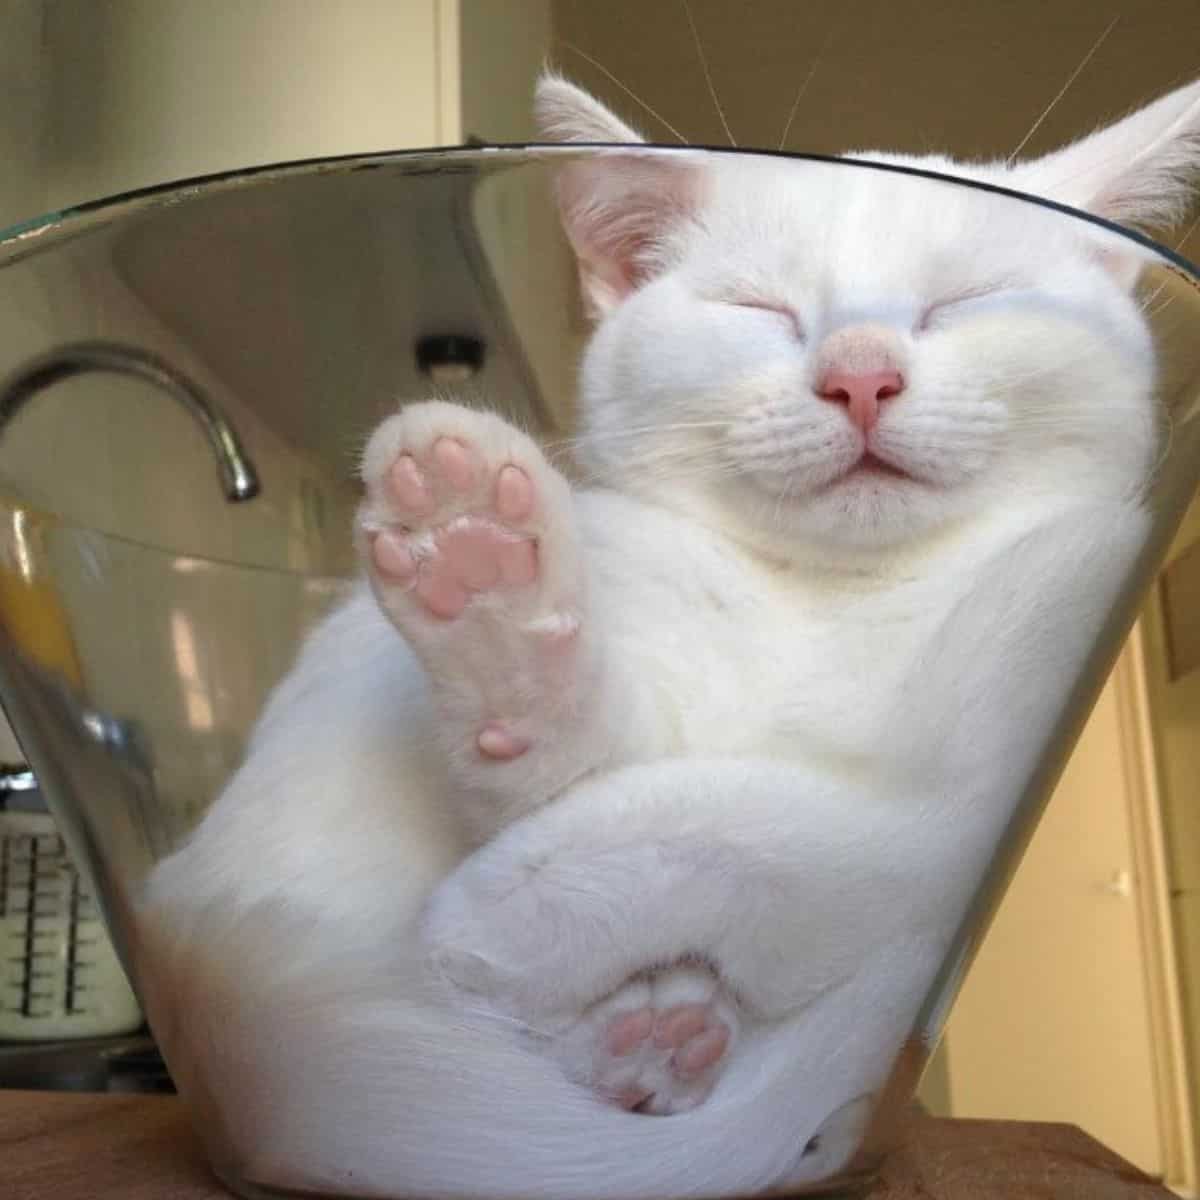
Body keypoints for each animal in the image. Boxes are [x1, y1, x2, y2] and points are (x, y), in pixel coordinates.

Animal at [140, 77, 1200, 1200]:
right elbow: (574, 773)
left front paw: (514, 911)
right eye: (757, 309)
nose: (860, 376)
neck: (839, 604)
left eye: (965, 301)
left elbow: (849, 834)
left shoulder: (1000, 764)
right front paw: (485, 589)